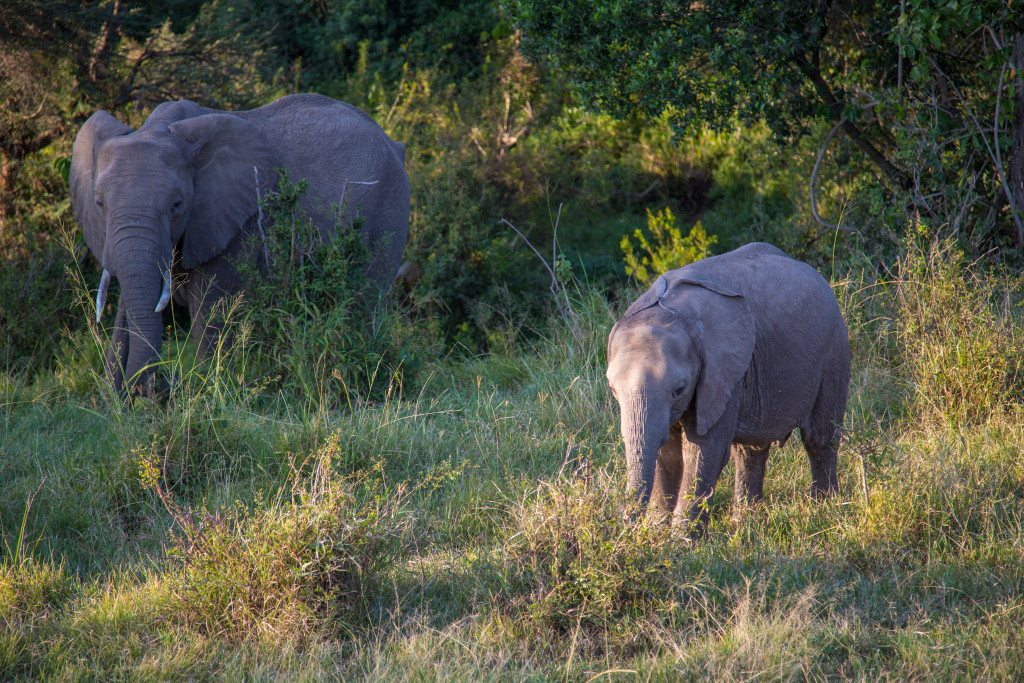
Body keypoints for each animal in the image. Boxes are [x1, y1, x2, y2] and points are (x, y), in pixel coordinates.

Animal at [67, 94, 411, 397]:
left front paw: (207, 391)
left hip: (388, 211)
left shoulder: (236, 222)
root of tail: (395, 145)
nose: (156, 387)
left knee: (366, 300)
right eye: (99, 203)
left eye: (177, 204)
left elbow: (211, 310)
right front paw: (113, 398)